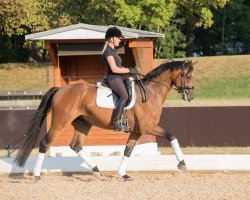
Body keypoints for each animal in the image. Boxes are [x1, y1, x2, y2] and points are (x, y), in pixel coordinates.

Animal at [13, 59, 195, 181]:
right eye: (188, 76)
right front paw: (182, 164)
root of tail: (60, 89)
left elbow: (128, 151)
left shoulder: (137, 131)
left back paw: (95, 169)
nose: (191, 96)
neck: (150, 93)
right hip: (60, 122)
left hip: (83, 123)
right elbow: (171, 136)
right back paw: (37, 176)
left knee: (75, 145)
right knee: (45, 143)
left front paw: (123, 174)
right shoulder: (147, 127)